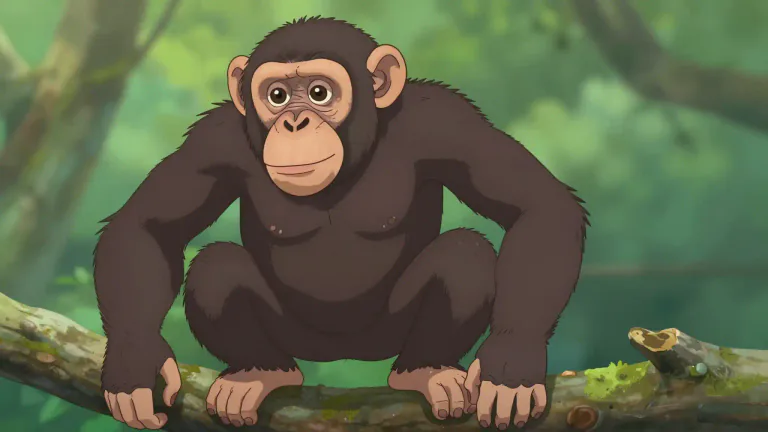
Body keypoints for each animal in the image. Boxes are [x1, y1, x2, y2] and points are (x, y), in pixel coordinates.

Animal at [95, 17, 588, 431]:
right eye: (276, 95)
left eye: (319, 92)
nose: (294, 122)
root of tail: (340, 355)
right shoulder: (213, 142)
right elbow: (147, 225)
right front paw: (134, 361)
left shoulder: (447, 121)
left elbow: (537, 205)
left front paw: (511, 363)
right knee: (216, 268)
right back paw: (257, 373)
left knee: (465, 255)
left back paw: (427, 370)